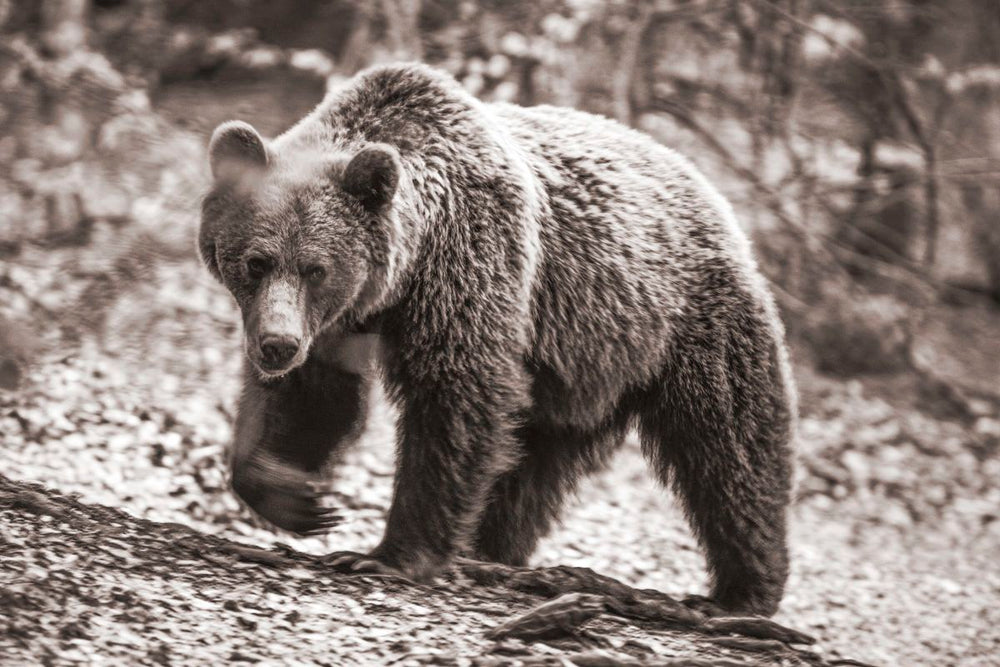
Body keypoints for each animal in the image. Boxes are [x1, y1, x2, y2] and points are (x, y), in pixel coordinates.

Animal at [198, 62, 797, 616]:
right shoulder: (337, 322)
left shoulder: (472, 267)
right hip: (578, 370)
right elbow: (313, 396)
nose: (276, 345)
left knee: (728, 450)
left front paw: (389, 555)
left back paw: (743, 592)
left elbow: (456, 402)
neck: (403, 277)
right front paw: (295, 496)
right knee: (533, 467)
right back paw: (490, 553)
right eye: (256, 261)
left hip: (687, 326)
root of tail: (710, 192)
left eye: (316, 268)